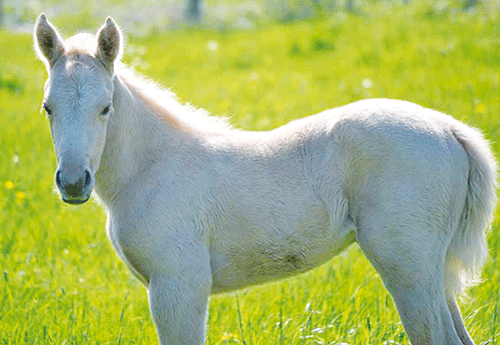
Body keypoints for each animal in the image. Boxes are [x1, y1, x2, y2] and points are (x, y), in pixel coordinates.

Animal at [34, 13, 496, 344]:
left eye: (105, 107)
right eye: (47, 107)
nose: (73, 183)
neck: (151, 168)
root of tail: (450, 129)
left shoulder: (179, 285)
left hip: (407, 264)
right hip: (434, 270)